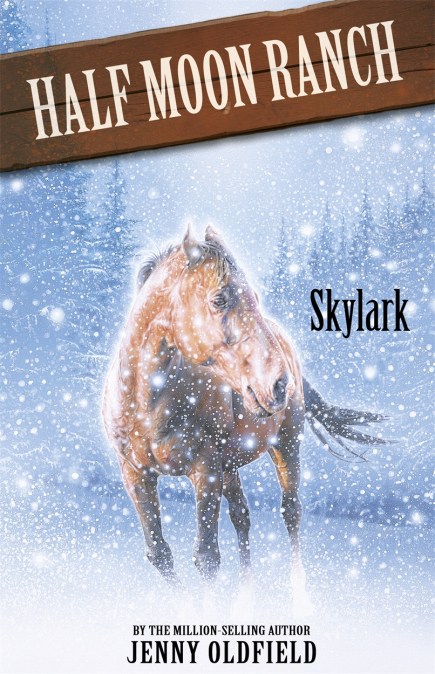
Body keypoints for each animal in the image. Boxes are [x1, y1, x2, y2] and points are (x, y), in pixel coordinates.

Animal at [103, 226, 385, 591]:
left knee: (291, 511)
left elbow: (207, 557)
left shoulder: (205, 471)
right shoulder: (135, 474)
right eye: (219, 299)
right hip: (229, 466)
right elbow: (160, 553)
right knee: (242, 517)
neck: (147, 406)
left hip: (285, 445)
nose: (278, 383)